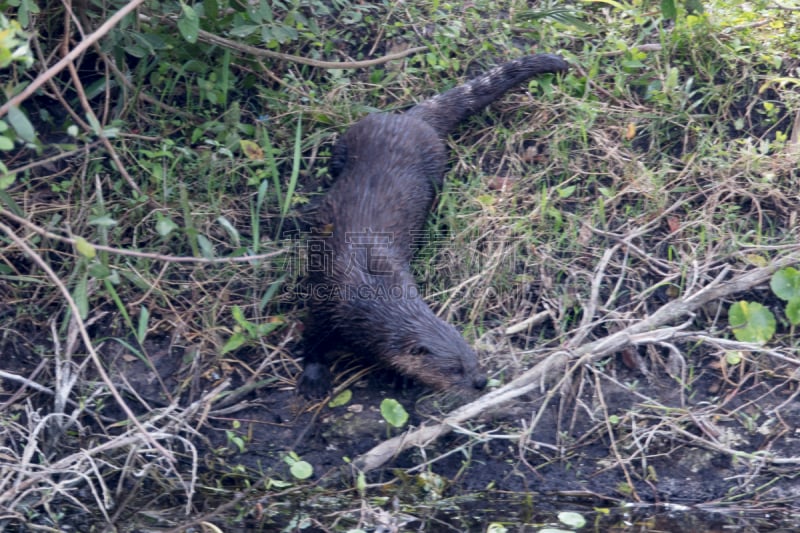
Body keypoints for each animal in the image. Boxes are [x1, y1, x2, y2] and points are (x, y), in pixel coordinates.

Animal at [298, 54, 568, 396]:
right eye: (454, 369)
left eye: (473, 359)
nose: (480, 382)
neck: (368, 302)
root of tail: (410, 120)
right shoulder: (324, 305)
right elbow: (312, 342)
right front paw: (314, 378)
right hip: (355, 140)